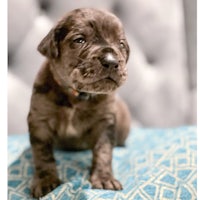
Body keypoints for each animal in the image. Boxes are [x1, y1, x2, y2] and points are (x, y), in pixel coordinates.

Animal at [27, 8, 131, 198]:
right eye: (80, 40)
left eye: (121, 44)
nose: (111, 61)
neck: (77, 96)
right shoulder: (40, 120)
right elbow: (42, 154)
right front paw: (46, 180)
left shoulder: (105, 121)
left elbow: (103, 151)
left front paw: (104, 178)